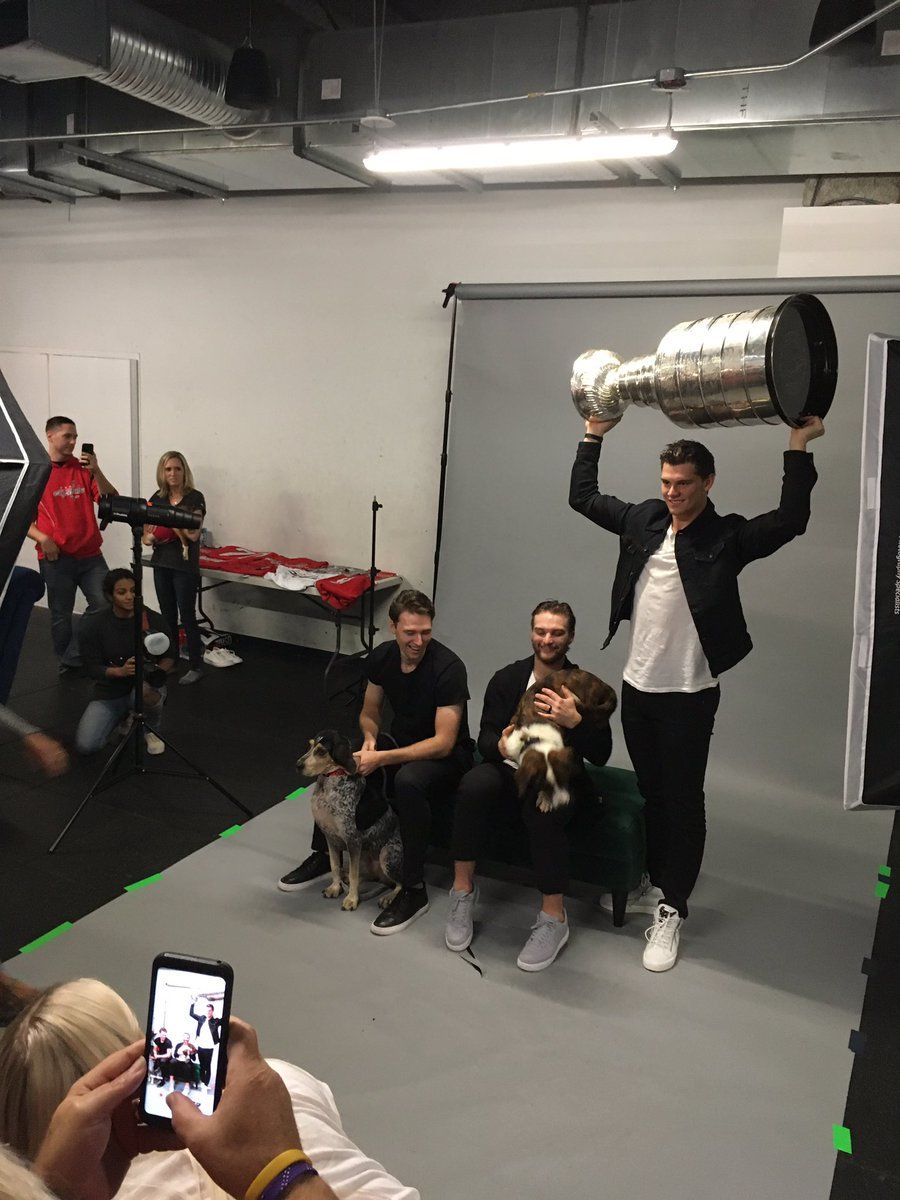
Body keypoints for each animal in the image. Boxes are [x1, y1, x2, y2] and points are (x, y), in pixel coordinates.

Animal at [504, 667, 619, 816]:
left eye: (565, 779)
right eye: (544, 785)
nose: (564, 803)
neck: (535, 738)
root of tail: (605, 686)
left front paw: (545, 800)